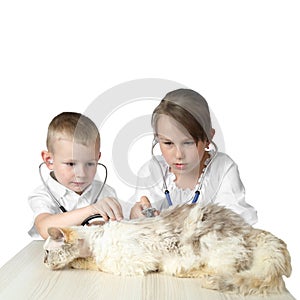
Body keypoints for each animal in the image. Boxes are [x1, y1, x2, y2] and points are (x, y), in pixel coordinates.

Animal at [42, 204, 290, 296]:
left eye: (46, 253)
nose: (43, 262)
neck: (95, 242)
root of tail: (249, 229)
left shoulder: (128, 263)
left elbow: (93, 263)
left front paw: (77, 261)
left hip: (212, 250)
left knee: (227, 271)